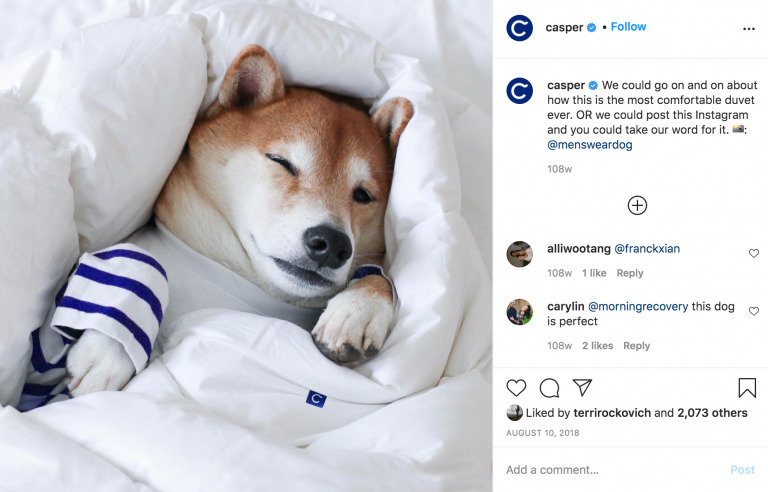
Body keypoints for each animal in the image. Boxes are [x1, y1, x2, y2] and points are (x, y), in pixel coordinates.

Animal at [66, 46, 414, 398]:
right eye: (281, 162)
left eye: (363, 195)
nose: (331, 244)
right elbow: (141, 262)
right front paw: (110, 347)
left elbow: (381, 278)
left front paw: (356, 312)